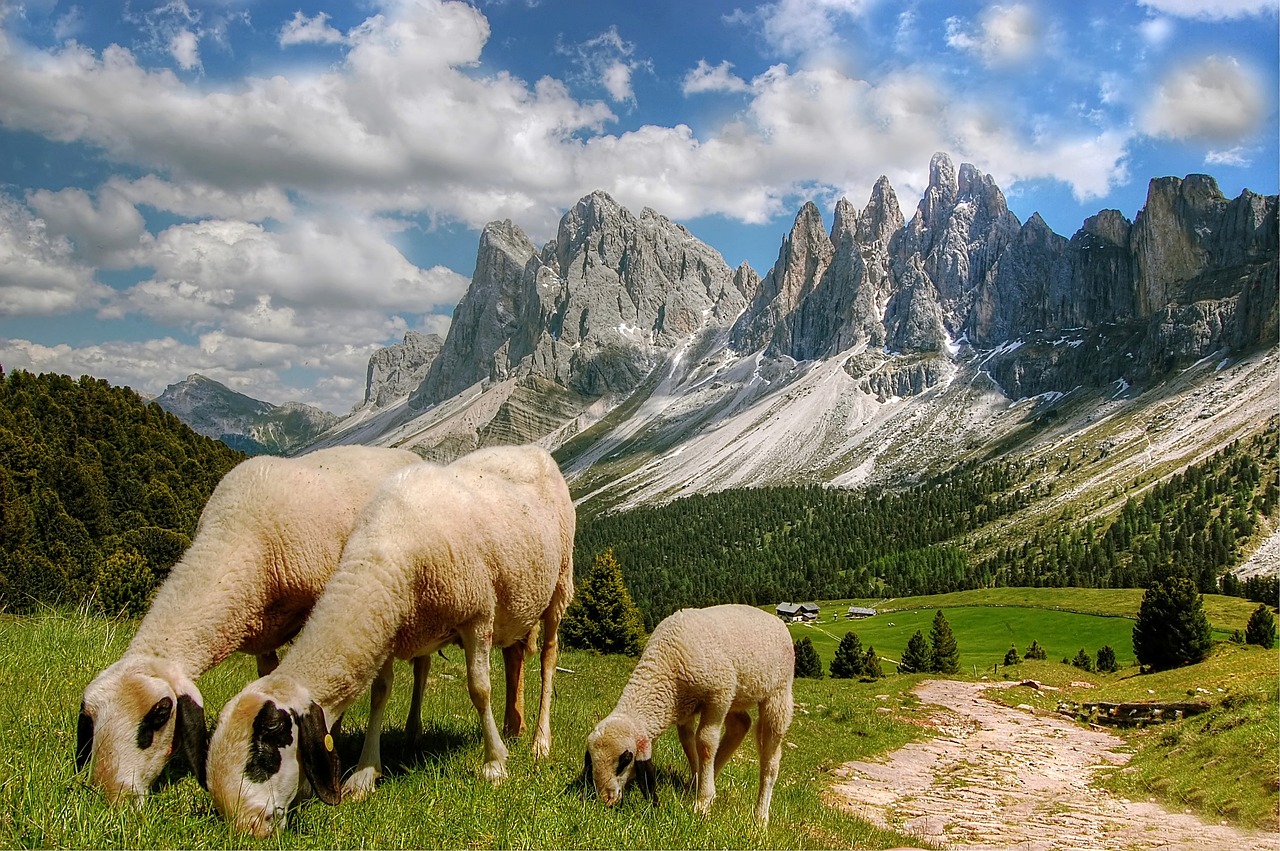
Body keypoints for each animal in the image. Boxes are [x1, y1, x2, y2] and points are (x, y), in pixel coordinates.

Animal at [77, 445, 422, 803]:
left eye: (159, 714)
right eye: (90, 718)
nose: (111, 793)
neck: (236, 534)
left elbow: (368, 688)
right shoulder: (262, 628)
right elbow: (271, 676)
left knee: (417, 671)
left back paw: (410, 732)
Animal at [204, 445, 576, 834]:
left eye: (266, 752)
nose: (247, 828)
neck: (385, 552)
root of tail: (529, 448)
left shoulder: (477, 614)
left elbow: (479, 689)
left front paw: (494, 763)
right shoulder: (389, 627)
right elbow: (379, 694)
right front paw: (365, 774)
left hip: (560, 583)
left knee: (548, 660)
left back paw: (539, 742)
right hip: (517, 601)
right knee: (515, 654)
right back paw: (513, 728)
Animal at [586, 601, 793, 819]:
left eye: (625, 760)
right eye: (591, 760)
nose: (606, 800)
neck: (665, 663)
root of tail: (776, 620)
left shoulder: (719, 695)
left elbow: (705, 743)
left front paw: (702, 801)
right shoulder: (683, 707)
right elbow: (687, 741)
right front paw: (696, 784)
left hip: (778, 694)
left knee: (771, 761)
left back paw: (760, 816)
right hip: (737, 696)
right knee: (741, 725)